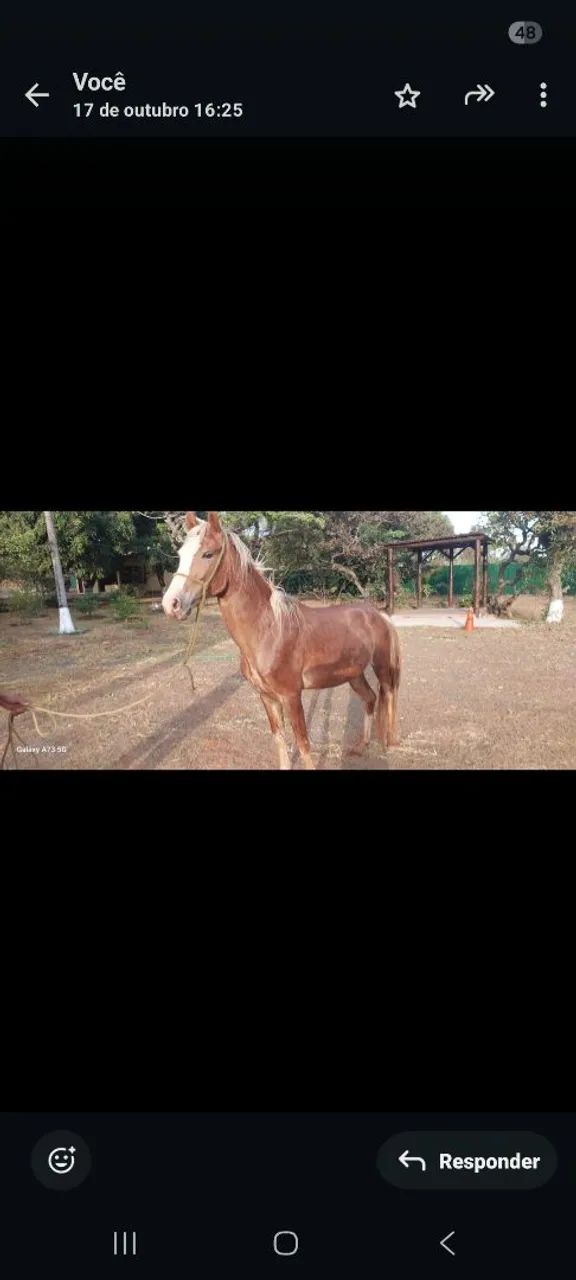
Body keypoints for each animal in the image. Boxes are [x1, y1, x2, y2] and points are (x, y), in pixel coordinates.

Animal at [162, 512, 401, 770]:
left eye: (208, 554)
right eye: (180, 554)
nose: (171, 604)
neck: (269, 631)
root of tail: (379, 615)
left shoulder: (291, 696)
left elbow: (303, 743)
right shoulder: (267, 697)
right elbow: (279, 738)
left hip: (382, 668)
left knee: (388, 698)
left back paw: (390, 743)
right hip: (353, 674)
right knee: (370, 699)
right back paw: (361, 746)